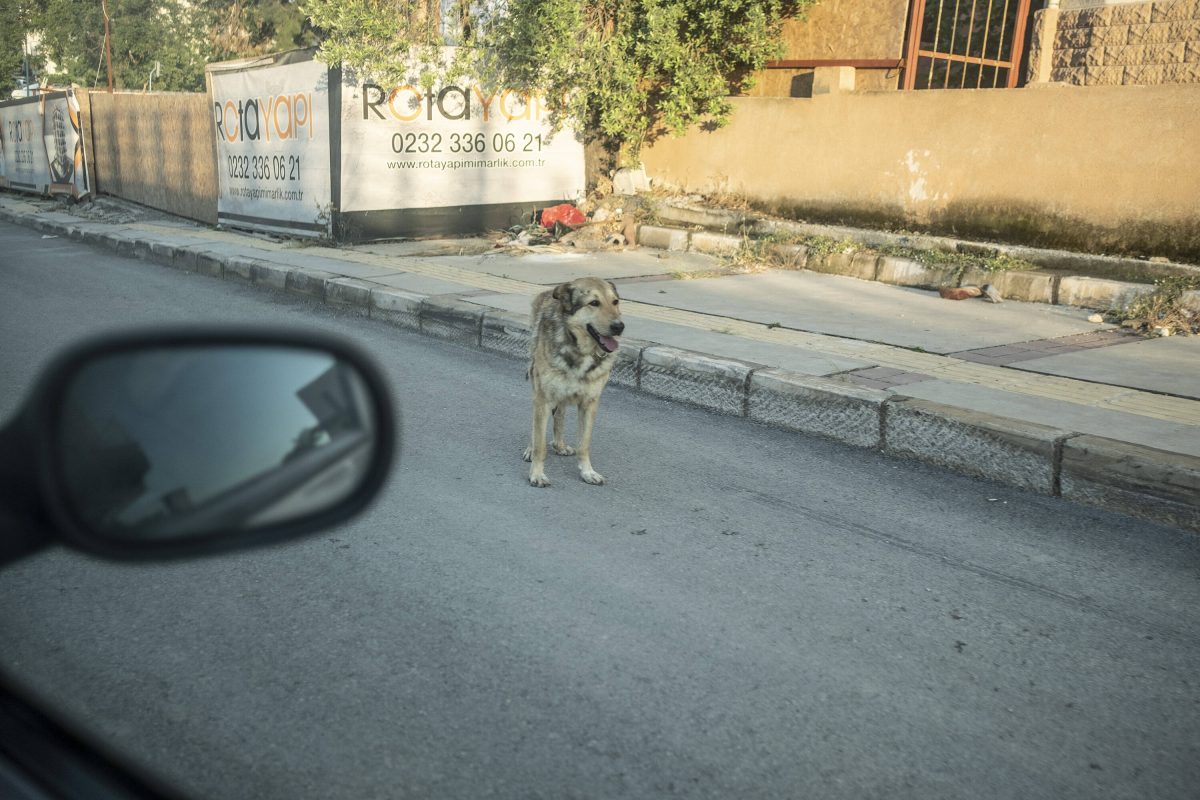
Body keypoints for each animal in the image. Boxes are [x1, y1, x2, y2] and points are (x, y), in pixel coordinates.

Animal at [520, 275, 624, 489]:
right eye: (594, 303)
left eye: (615, 302)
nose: (619, 327)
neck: (580, 351)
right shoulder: (543, 399)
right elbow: (540, 444)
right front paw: (536, 474)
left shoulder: (589, 404)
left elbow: (584, 444)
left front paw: (587, 472)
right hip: (537, 387)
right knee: (536, 427)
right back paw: (530, 448)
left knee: (559, 415)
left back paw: (559, 444)